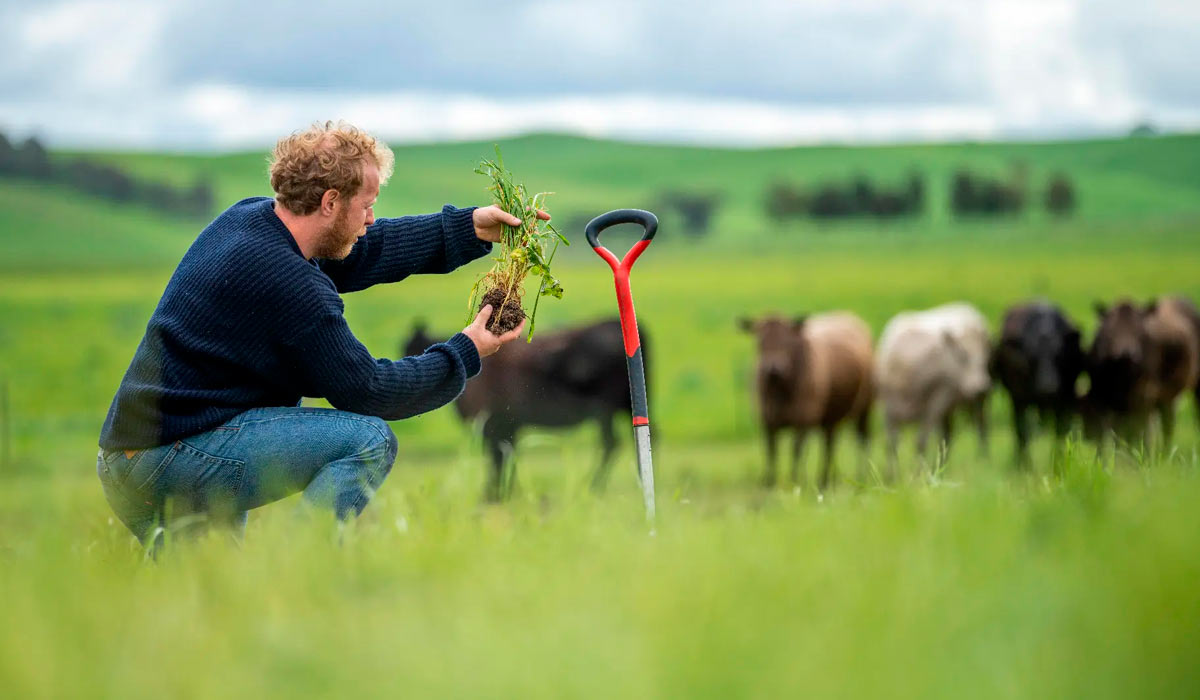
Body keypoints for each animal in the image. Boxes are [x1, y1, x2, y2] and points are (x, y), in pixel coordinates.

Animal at [403, 319, 648, 501]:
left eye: (413, 350)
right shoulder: (506, 427)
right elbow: (506, 456)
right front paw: (504, 493)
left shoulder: (494, 427)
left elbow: (499, 458)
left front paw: (494, 494)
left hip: (605, 410)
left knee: (611, 443)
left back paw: (592, 486)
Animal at [739, 312, 873, 492]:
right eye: (759, 340)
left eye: (787, 341)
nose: (773, 368)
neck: (780, 391)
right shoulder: (768, 421)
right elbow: (771, 452)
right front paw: (769, 483)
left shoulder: (803, 421)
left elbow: (796, 451)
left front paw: (795, 481)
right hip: (830, 418)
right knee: (829, 445)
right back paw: (825, 480)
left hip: (864, 409)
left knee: (862, 440)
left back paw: (860, 477)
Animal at [873, 301, 993, 475]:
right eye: (962, 355)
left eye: (985, 359)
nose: (982, 386)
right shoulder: (888, 410)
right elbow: (891, 444)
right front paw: (890, 476)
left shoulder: (934, 404)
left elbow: (920, 442)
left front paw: (917, 474)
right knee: (948, 435)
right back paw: (943, 467)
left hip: (974, 404)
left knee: (981, 426)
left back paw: (983, 459)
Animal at [984, 301, 1089, 465]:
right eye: (1031, 355)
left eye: (1059, 353)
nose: (1048, 388)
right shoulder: (1018, 399)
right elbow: (1022, 431)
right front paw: (1023, 464)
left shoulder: (1065, 400)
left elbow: (1060, 433)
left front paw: (1058, 461)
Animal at [1089, 295, 1200, 449]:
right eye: (1110, 330)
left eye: (1139, 331)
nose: (1127, 354)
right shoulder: (1100, 399)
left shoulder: (1143, 398)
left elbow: (1139, 434)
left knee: (1166, 428)